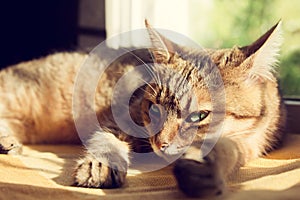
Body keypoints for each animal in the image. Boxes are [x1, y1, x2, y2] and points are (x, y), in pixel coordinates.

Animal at [0, 19, 286, 197]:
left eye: (199, 115)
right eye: (154, 109)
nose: (161, 144)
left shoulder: (251, 142)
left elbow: (227, 149)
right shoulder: (116, 121)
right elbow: (107, 142)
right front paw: (100, 166)